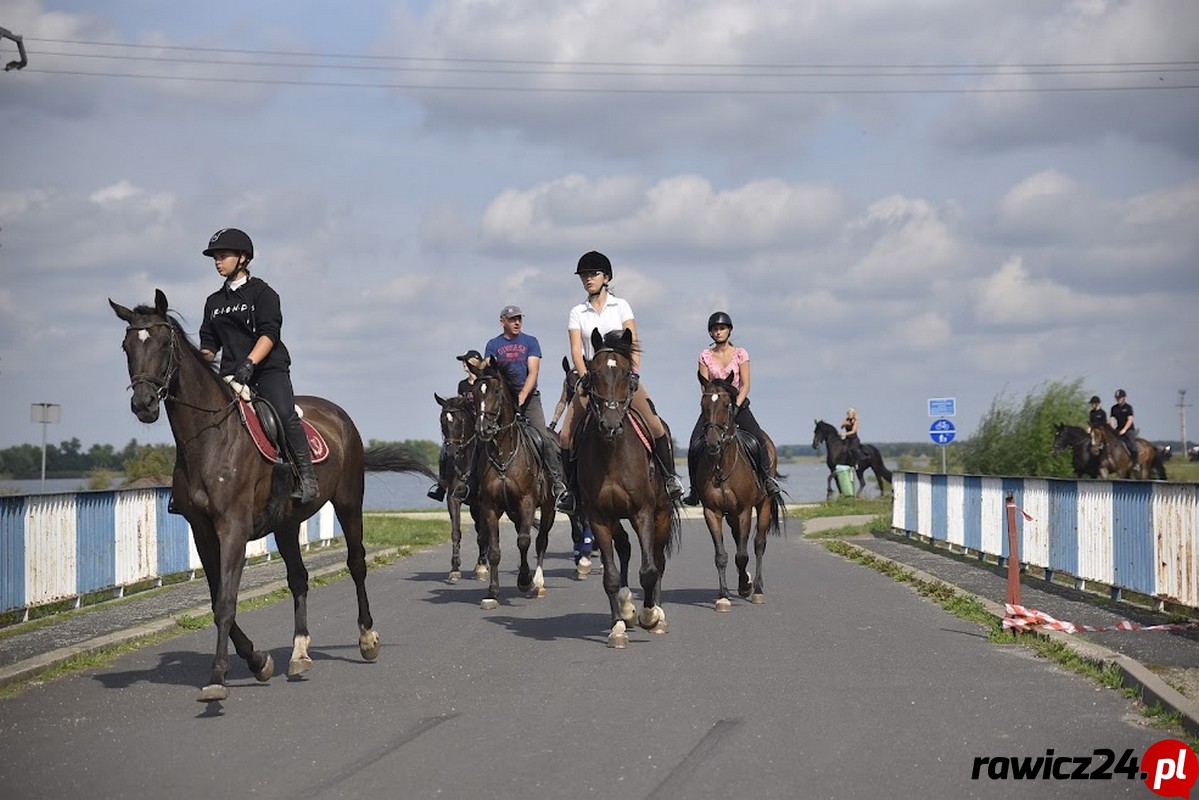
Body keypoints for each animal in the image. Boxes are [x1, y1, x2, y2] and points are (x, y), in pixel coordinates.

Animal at [112, 291, 436, 705]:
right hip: (286, 524)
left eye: (165, 343)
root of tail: (339, 415)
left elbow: (226, 602)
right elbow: (217, 598)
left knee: (356, 564)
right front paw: (258, 660)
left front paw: (218, 677)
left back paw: (367, 638)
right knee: (298, 578)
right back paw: (299, 653)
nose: (145, 403)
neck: (209, 437)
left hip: (349, 502)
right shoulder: (203, 532)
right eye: (127, 346)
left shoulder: (233, 528)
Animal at [434, 393, 484, 582]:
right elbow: (456, 531)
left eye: (460, 421)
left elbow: (482, 533)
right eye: (442, 419)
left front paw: (482, 568)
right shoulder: (453, 499)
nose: (451, 452)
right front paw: (454, 568)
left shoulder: (481, 502)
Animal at [467, 357, 561, 606]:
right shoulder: (490, 507)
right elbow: (494, 550)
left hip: (548, 507)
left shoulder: (527, 502)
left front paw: (525, 580)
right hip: (512, 511)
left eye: (497, 391)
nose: (483, 428)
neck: (504, 453)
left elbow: (524, 541)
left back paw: (537, 582)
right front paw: (492, 592)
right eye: (474, 392)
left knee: (541, 540)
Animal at [575, 328, 681, 647]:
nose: (610, 425)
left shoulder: (643, 512)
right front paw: (618, 627)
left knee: (657, 558)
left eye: (626, 374)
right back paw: (626, 608)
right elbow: (610, 575)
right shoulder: (599, 517)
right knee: (623, 547)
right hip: (614, 518)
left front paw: (650, 616)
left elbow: (648, 570)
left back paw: (656, 614)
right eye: (593, 373)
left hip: (660, 514)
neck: (612, 452)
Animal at [695, 376, 786, 614]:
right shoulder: (712, 512)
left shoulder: (745, 510)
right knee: (738, 540)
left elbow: (743, 554)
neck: (721, 466)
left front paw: (746, 587)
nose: (712, 442)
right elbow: (722, 555)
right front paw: (723, 596)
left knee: (758, 544)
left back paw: (757, 590)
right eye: (703, 405)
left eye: (727, 405)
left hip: (763, 505)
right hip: (731, 515)